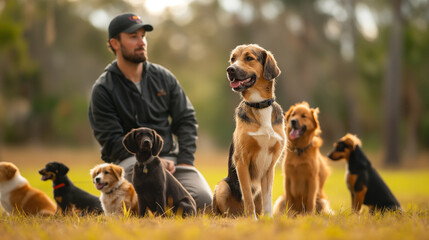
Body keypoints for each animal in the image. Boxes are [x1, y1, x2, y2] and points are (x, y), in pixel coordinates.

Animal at [212, 44, 286, 218]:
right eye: (232, 59)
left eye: (249, 58)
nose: (230, 70)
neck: (259, 104)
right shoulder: (241, 160)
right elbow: (247, 195)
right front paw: (252, 220)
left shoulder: (270, 166)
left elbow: (268, 199)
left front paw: (268, 219)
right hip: (222, 187)